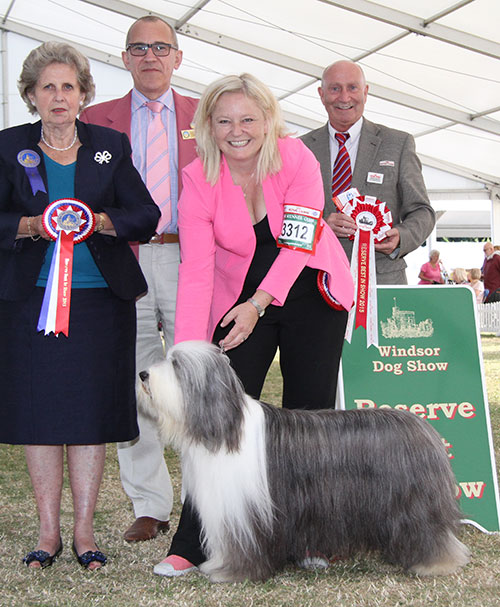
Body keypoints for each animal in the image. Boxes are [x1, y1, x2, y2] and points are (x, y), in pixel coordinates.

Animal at [139, 340, 470, 580]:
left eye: (176, 365)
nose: (142, 374)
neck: (226, 427)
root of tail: (424, 427)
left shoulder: (244, 512)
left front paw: (231, 572)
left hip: (413, 504)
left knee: (429, 532)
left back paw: (435, 563)